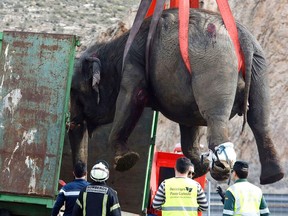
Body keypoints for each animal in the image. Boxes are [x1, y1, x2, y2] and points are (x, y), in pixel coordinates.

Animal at [68, 8, 284, 184]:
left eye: (75, 91)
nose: (80, 172)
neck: (115, 46)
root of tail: (241, 35)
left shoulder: (133, 65)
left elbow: (132, 97)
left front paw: (126, 160)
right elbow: (190, 122)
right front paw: (199, 166)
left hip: (214, 63)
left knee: (215, 116)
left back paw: (220, 169)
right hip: (259, 65)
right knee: (260, 120)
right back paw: (273, 175)